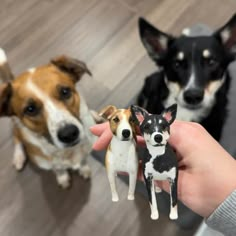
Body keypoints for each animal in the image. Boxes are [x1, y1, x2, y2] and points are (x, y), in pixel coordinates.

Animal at [0, 49, 97, 188]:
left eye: (65, 91)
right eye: (30, 109)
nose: (69, 134)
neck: (68, 152)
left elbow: (83, 161)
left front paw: (84, 169)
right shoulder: (48, 163)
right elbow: (59, 169)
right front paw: (63, 178)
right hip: (15, 125)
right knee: (16, 136)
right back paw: (19, 156)